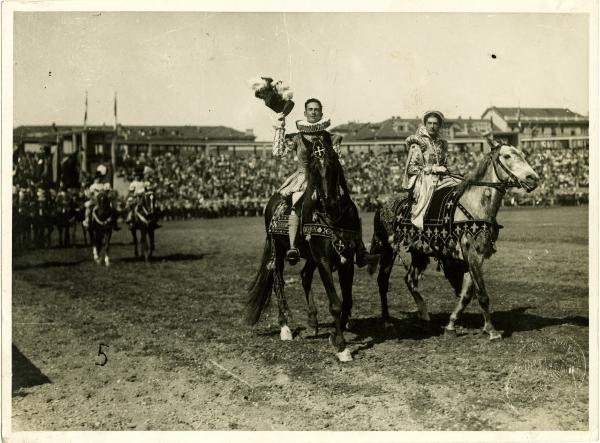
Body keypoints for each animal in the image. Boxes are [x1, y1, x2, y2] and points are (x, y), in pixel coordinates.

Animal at [245, 145, 366, 360]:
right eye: (314, 171)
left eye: (335, 165)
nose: (329, 203)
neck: (334, 219)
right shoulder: (324, 260)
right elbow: (335, 303)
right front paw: (342, 347)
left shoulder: (347, 259)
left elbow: (347, 300)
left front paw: (335, 334)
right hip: (278, 251)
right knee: (278, 283)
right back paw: (285, 328)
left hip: (310, 257)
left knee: (304, 275)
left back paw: (313, 321)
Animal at [368, 137, 540, 342]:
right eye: (507, 156)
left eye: (522, 154)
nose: (533, 178)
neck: (474, 204)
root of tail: (381, 203)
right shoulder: (471, 251)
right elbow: (481, 294)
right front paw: (491, 330)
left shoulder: (476, 255)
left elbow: (466, 293)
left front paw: (451, 325)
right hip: (388, 248)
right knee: (383, 281)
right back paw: (387, 321)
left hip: (419, 251)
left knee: (410, 279)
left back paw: (424, 316)